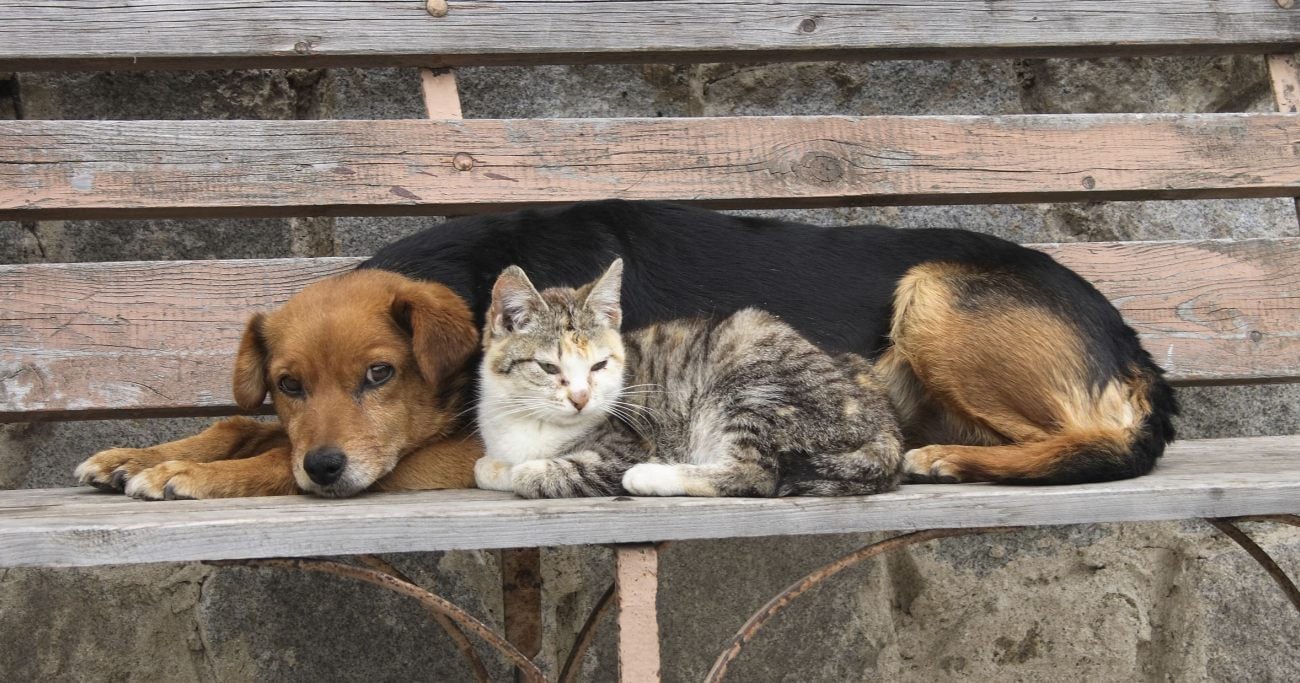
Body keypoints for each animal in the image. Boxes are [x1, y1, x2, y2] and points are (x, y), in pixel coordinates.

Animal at [470, 258, 904, 496]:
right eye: (548, 367)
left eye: (599, 366)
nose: (580, 398)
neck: (530, 422)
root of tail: (885, 428)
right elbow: (483, 467)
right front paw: (496, 466)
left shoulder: (625, 445)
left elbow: (535, 473)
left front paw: (521, 470)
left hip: (755, 384)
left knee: (754, 474)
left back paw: (650, 477)